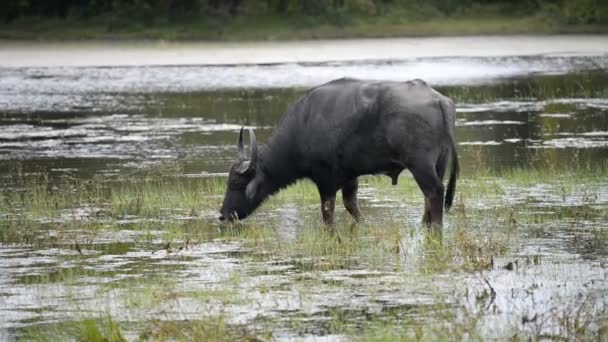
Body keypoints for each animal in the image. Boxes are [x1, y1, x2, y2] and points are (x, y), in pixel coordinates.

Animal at [221, 78, 458, 227]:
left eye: (236, 184)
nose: (223, 215)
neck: (303, 125)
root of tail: (439, 100)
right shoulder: (349, 176)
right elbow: (351, 205)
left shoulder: (325, 179)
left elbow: (328, 212)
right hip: (439, 162)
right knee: (429, 196)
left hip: (420, 164)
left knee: (435, 191)